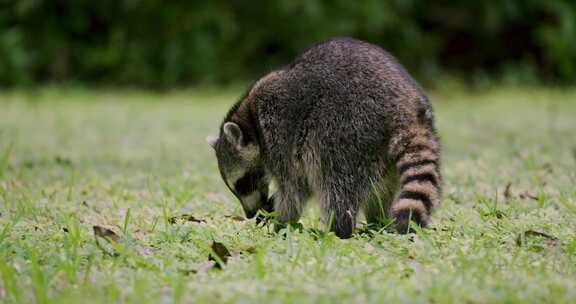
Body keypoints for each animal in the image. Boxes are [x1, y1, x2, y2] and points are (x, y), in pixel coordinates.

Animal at [207, 37, 440, 238]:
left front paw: (281, 224)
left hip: (346, 130)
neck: (250, 118)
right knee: (381, 189)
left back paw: (336, 230)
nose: (250, 214)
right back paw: (377, 222)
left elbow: (294, 189)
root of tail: (405, 111)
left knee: (334, 183)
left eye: (243, 183)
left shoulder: (278, 131)